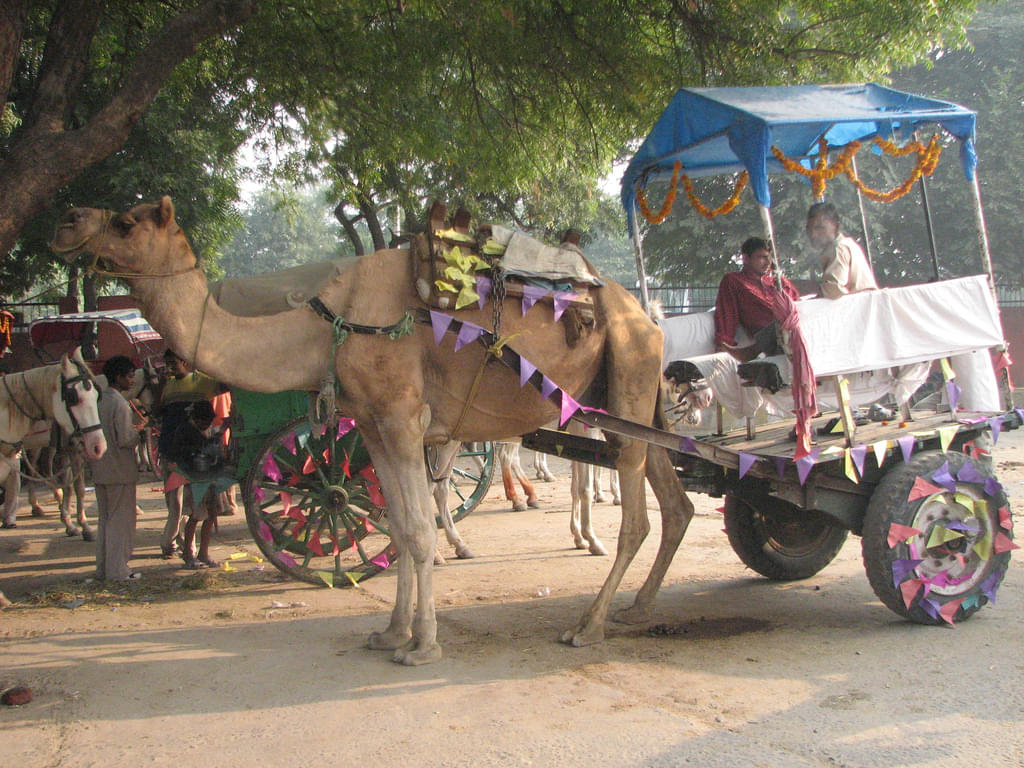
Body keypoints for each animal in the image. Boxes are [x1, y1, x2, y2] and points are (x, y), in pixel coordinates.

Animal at [52, 197, 694, 665]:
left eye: (126, 220)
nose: (67, 220)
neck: (326, 325)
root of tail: (643, 313)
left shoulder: (402, 416)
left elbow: (417, 528)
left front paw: (424, 645)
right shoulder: (372, 423)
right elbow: (401, 528)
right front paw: (392, 633)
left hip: (629, 376)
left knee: (638, 515)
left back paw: (589, 625)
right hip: (625, 394)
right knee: (676, 500)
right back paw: (637, 608)